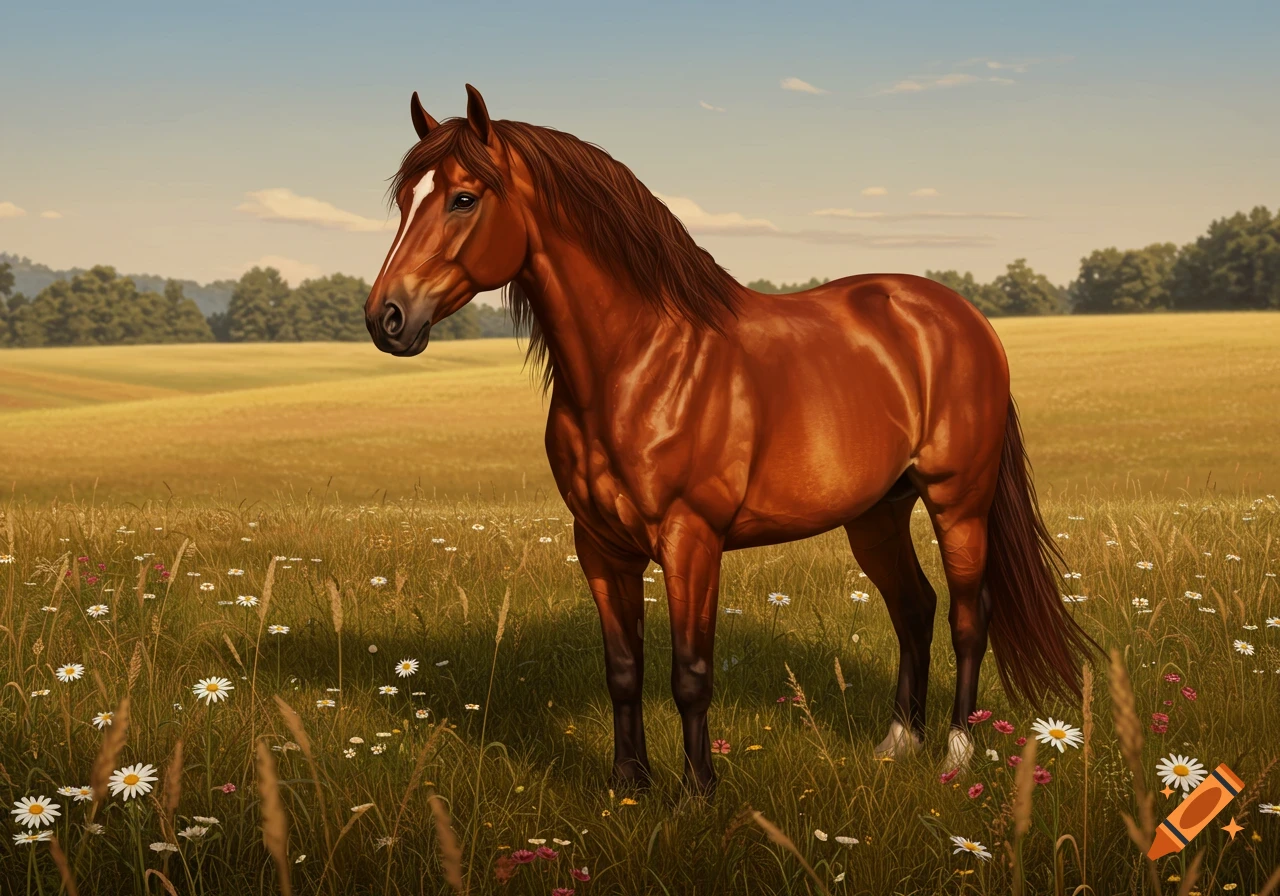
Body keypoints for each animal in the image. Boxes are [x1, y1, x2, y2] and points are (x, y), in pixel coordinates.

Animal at [365, 84, 1097, 794]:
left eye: (463, 198)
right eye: (405, 199)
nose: (386, 318)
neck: (640, 363)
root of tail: (961, 315)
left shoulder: (692, 540)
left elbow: (690, 672)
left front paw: (699, 790)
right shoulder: (599, 546)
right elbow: (623, 667)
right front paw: (627, 785)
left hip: (958, 501)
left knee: (969, 617)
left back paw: (957, 754)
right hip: (878, 512)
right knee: (914, 609)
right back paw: (896, 745)